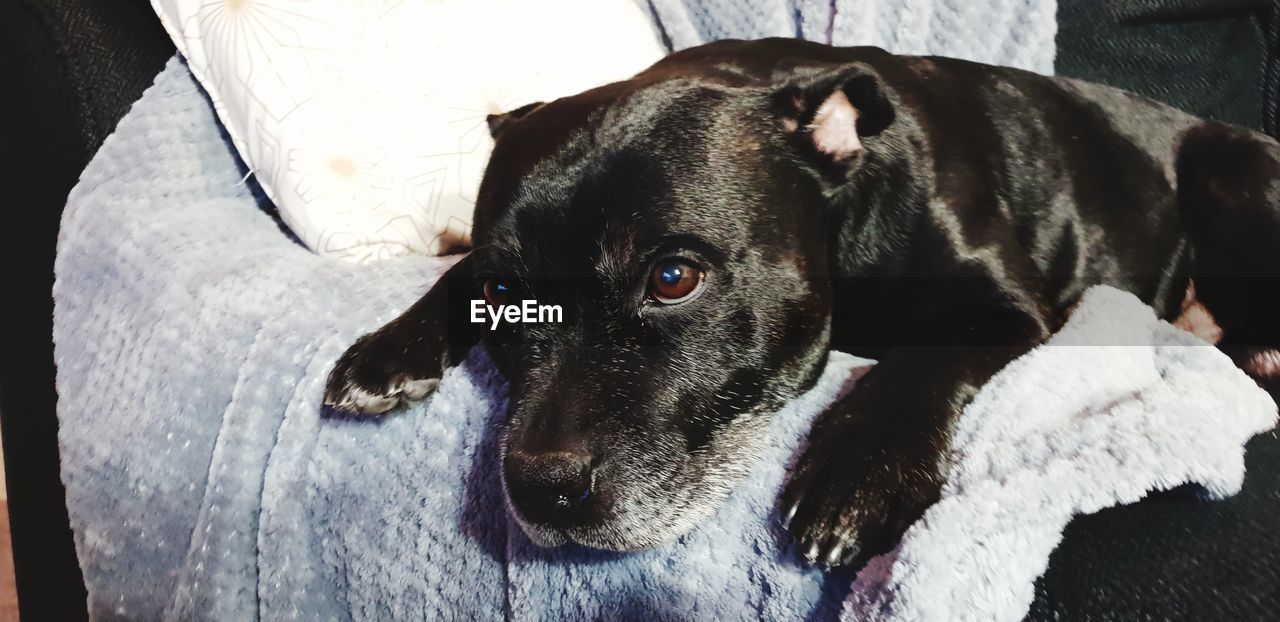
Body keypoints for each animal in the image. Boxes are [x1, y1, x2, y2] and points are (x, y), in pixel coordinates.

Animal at [322, 36, 1280, 565]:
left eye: (673, 277)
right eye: (502, 291)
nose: (540, 490)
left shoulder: (1006, 306)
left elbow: (917, 364)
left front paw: (854, 475)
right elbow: (449, 272)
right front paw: (388, 347)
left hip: (1230, 174)